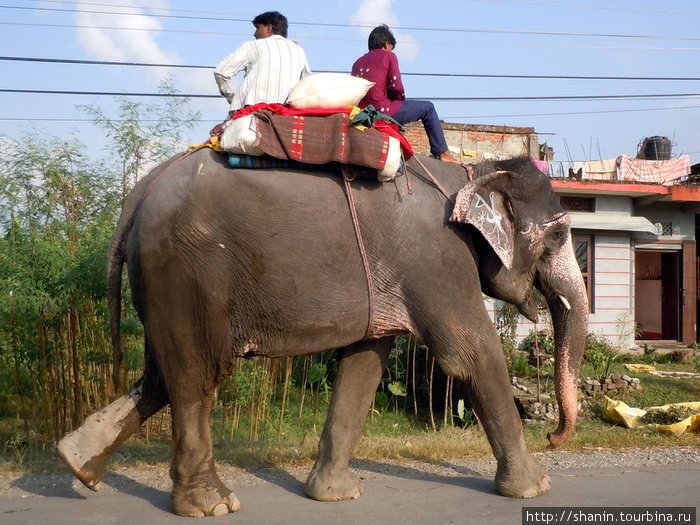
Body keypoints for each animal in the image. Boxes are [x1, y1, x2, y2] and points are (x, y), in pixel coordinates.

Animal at [57, 147, 588, 516]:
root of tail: (143, 188)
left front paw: (333, 495)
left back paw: (76, 462)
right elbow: (470, 354)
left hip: (164, 283)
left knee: (160, 375)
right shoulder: (437, 257)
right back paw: (211, 506)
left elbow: (365, 363)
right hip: (187, 272)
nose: (553, 437)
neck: (469, 174)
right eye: (560, 235)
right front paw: (535, 487)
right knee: (196, 376)